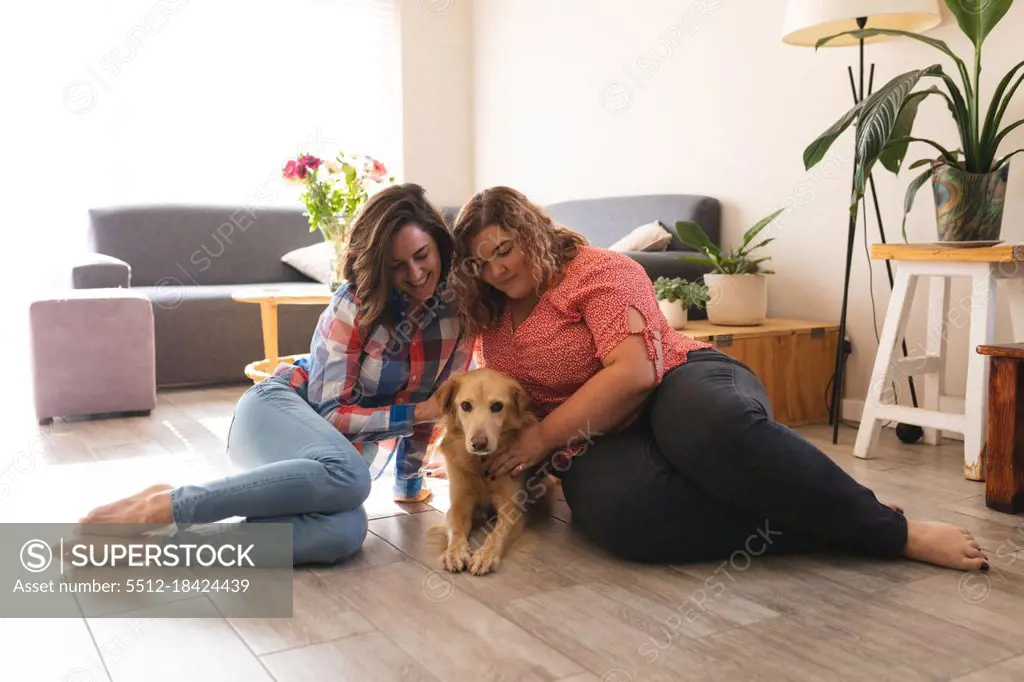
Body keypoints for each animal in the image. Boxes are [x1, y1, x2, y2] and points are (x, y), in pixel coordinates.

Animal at [434, 366, 540, 573]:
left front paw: (485, 555)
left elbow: (497, 534)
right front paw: (455, 552)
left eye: (497, 406)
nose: (479, 443)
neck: (480, 464)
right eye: (466, 405)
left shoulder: (512, 508)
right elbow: (456, 528)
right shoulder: (458, 504)